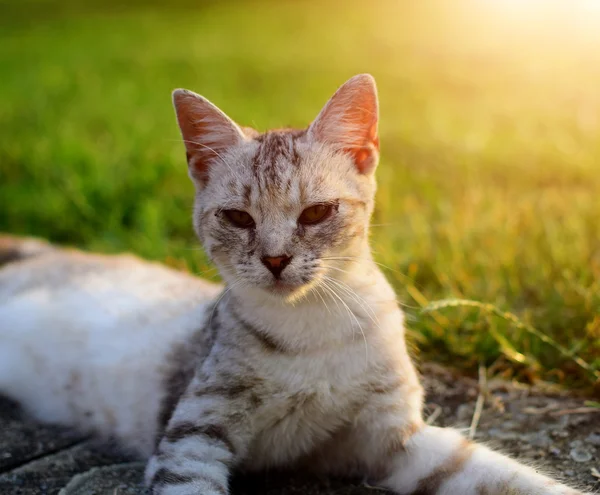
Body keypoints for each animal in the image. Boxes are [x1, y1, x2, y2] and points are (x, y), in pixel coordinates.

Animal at [0, 74, 584, 495]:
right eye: (237, 218)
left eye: (317, 212)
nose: (276, 259)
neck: (312, 331)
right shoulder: (193, 436)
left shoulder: (394, 439)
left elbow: (505, 477)